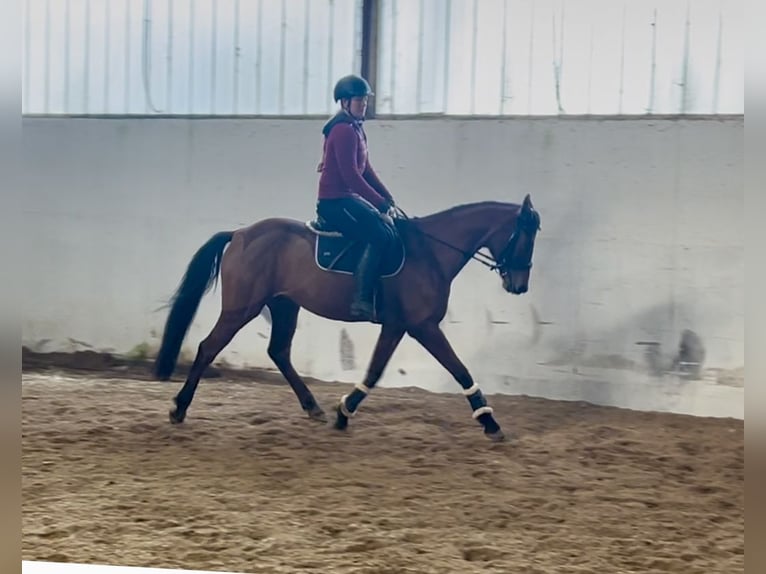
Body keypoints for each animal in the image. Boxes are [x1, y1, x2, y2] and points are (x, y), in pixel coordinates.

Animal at [153, 196, 544, 444]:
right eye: (525, 239)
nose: (520, 286)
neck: (431, 252)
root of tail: (240, 234)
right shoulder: (423, 326)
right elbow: (460, 370)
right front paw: (490, 422)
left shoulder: (398, 326)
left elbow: (374, 371)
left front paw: (343, 412)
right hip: (242, 308)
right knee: (208, 348)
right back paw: (178, 408)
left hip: (284, 305)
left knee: (279, 352)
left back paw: (313, 408)